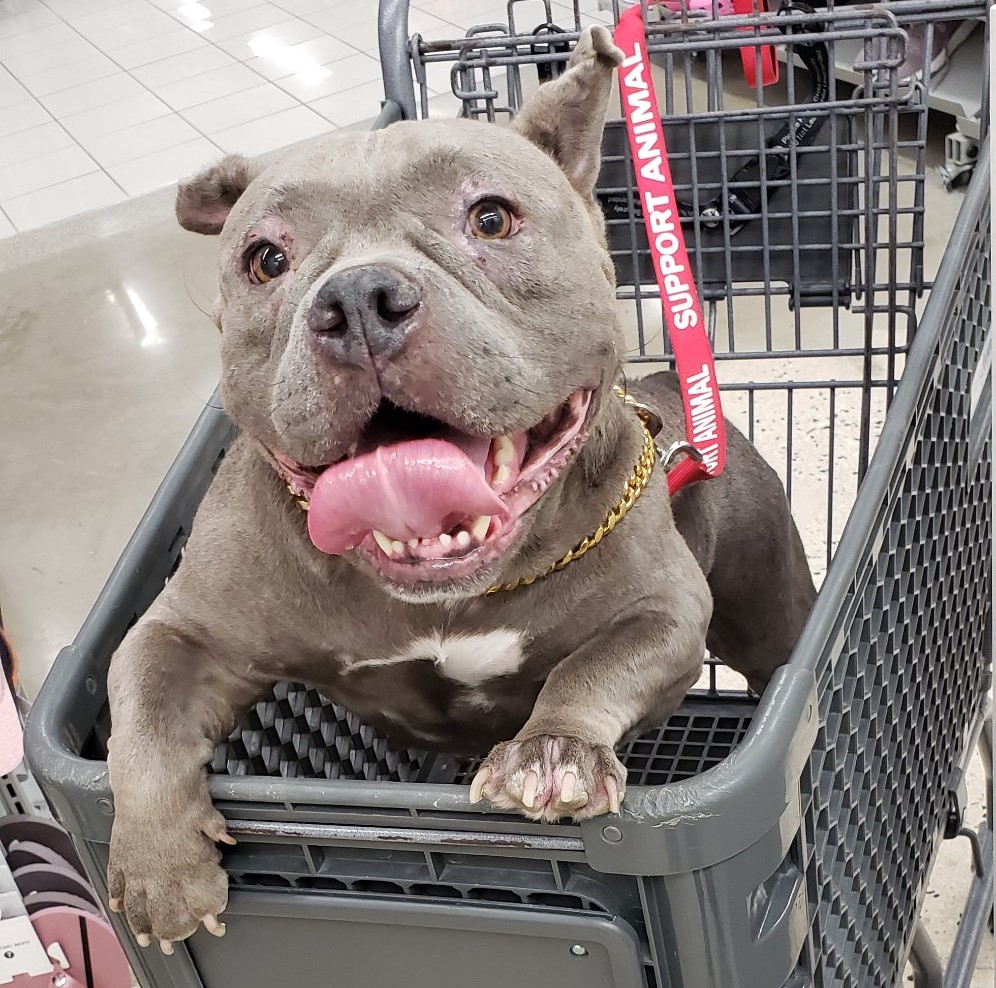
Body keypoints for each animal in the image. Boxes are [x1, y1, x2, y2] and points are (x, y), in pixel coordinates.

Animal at [105, 25, 816, 948]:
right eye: (265, 260)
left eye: (491, 217)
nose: (357, 299)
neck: (451, 594)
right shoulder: (190, 629)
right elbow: (145, 708)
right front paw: (157, 863)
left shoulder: (664, 614)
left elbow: (594, 665)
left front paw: (554, 749)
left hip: (772, 614)